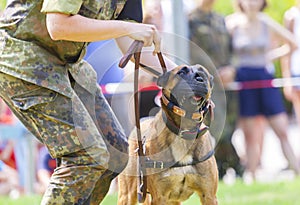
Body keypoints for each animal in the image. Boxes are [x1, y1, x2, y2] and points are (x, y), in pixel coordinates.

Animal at [117, 64, 218, 205]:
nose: (200, 79)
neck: (184, 131)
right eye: (181, 72)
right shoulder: (159, 197)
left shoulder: (209, 195)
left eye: (204, 73)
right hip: (128, 194)